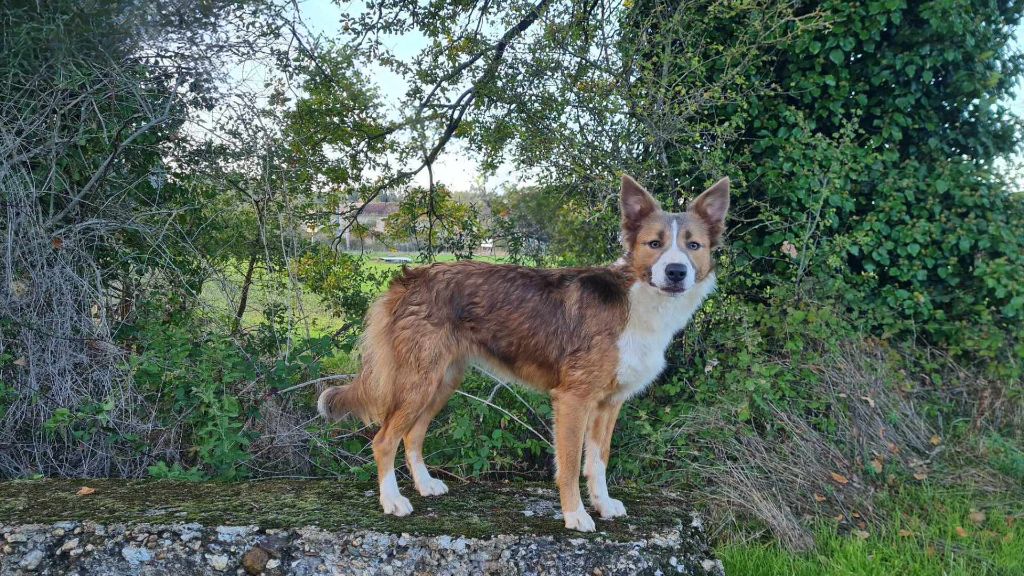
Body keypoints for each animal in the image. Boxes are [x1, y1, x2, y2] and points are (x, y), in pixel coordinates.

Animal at [319, 174, 729, 528]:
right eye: (654, 244)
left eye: (693, 245)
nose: (676, 272)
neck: (637, 300)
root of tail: (410, 278)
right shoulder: (573, 400)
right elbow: (569, 466)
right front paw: (575, 515)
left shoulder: (609, 405)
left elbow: (597, 462)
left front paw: (603, 504)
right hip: (419, 381)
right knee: (384, 440)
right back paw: (392, 500)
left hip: (441, 382)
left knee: (412, 435)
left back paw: (424, 485)